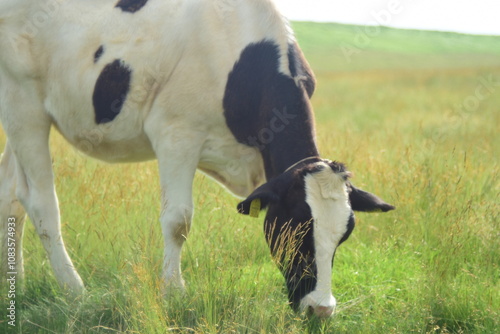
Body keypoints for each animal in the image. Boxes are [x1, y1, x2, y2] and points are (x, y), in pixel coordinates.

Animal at [0, 0, 394, 318]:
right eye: (295, 229)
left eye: (344, 235)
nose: (321, 309)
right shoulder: (177, 134)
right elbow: (178, 221)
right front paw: (174, 293)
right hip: (24, 104)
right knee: (39, 202)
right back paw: (74, 290)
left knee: (11, 196)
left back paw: (15, 282)